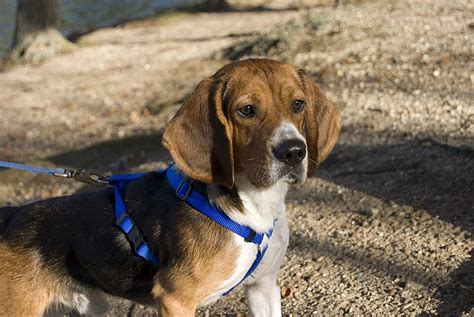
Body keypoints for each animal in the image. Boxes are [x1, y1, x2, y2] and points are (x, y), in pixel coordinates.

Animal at [0, 58, 340, 314]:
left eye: (298, 104)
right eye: (246, 110)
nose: (294, 151)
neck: (252, 204)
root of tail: (9, 216)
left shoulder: (264, 286)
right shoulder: (174, 299)